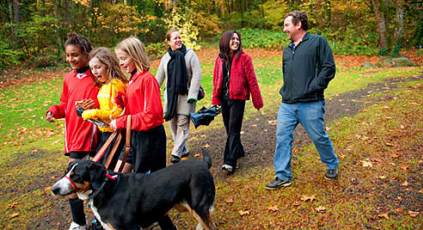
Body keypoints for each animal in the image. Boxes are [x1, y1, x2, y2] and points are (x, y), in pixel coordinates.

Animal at [52, 152, 217, 229]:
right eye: (66, 172)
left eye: (76, 176)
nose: (54, 189)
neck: (105, 190)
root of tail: (203, 163)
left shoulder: (131, 227)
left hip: (198, 207)